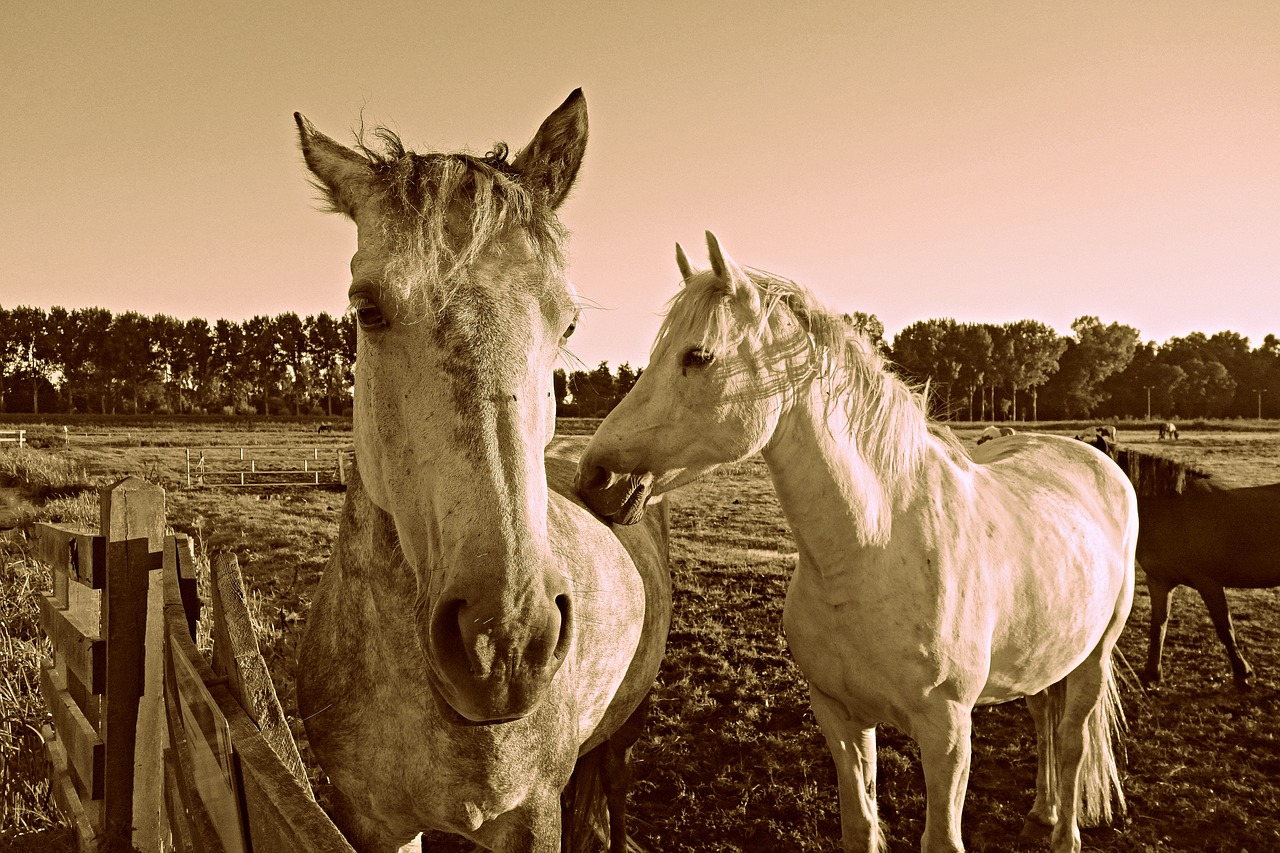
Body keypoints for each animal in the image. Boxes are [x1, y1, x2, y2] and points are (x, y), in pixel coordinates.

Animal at [290, 89, 670, 845]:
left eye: (569, 322)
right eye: (366, 307)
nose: (505, 643)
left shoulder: (529, 814)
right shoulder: (369, 817)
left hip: (628, 723)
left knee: (612, 785)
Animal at [576, 233, 1136, 850]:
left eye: (697, 356)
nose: (593, 478)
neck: (874, 552)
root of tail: (1092, 457)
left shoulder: (946, 733)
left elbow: (943, 838)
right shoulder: (840, 716)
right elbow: (860, 826)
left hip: (1094, 658)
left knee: (1073, 741)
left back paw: (1064, 831)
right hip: (1045, 654)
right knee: (1043, 720)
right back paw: (1040, 812)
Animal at [1111, 448, 1280, 686]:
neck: (1170, 509)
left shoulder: (1209, 583)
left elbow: (1225, 627)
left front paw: (1243, 673)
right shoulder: (1159, 582)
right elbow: (1158, 626)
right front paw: (1152, 673)